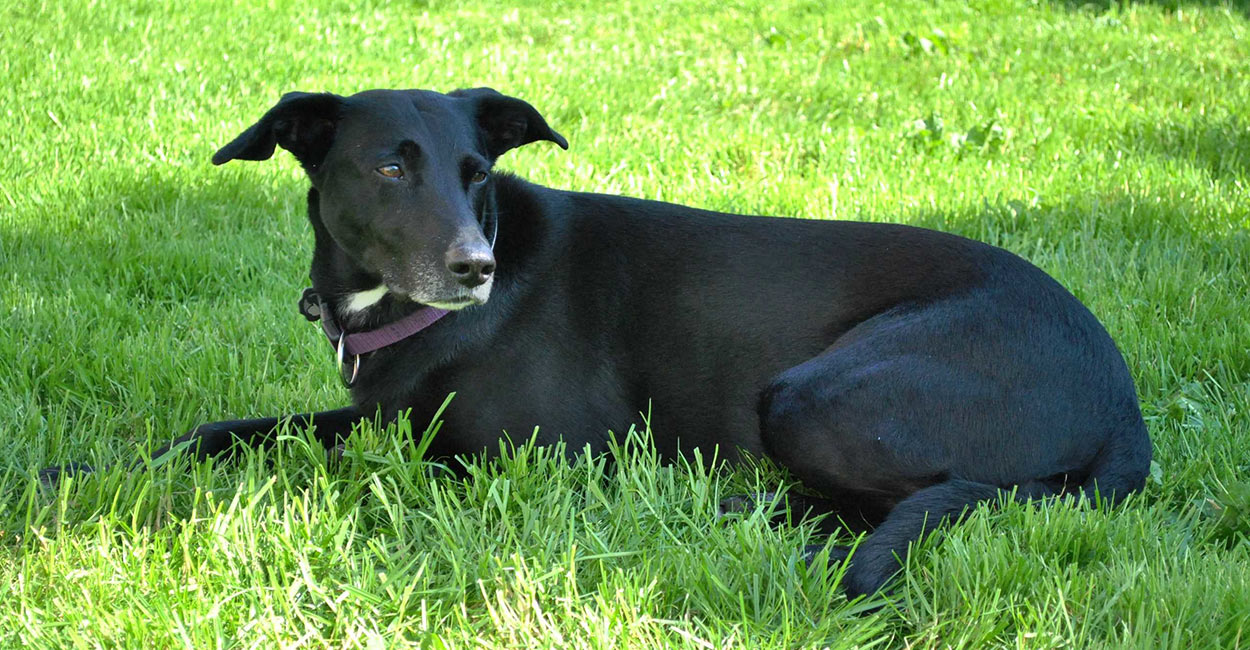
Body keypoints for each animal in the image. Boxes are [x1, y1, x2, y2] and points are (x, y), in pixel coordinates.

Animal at [41, 87, 1150, 600]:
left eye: (477, 170)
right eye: (390, 167)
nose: (473, 266)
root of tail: (1123, 404)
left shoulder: (535, 453)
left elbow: (381, 467)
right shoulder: (371, 409)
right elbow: (221, 429)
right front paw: (79, 472)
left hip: (816, 395)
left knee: (909, 500)